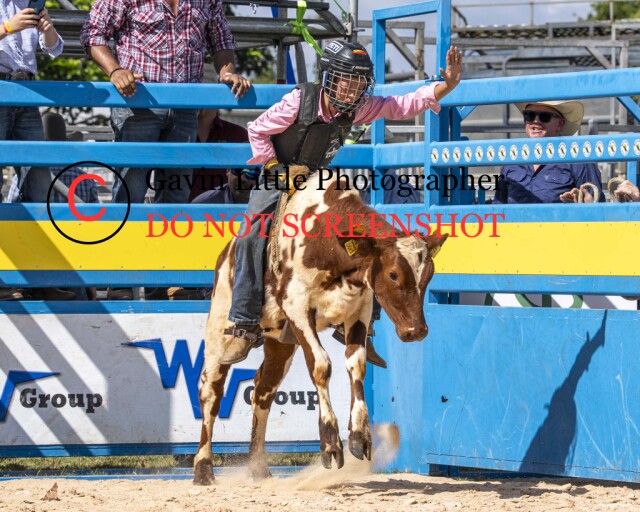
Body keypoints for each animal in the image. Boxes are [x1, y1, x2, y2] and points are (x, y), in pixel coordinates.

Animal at [193, 171, 447, 485]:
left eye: (428, 276)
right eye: (393, 274)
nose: (416, 331)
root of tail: (225, 255)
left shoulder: (359, 310)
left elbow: (356, 364)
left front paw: (360, 437)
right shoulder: (299, 310)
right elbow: (321, 366)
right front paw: (330, 444)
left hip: (280, 342)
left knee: (263, 391)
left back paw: (259, 468)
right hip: (221, 334)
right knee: (211, 392)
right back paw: (203, 468)